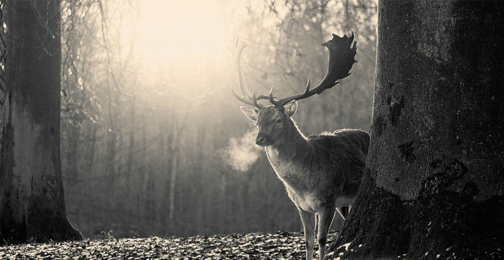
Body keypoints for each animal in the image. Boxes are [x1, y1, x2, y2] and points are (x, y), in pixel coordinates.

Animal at [233, 33, 370, 260]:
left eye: (278, 120)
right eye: (257, 121)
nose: (259, 139)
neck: (304, 184)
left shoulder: (328, 200)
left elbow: (321, 240)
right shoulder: (301, 206)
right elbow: (307, 241)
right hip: (344, 202)